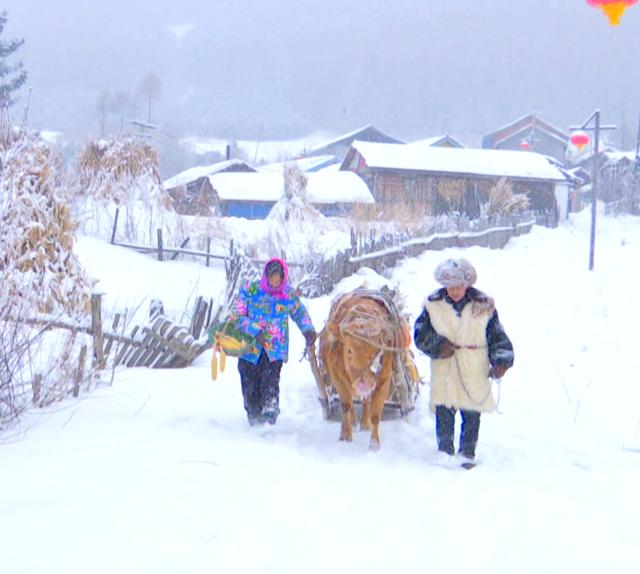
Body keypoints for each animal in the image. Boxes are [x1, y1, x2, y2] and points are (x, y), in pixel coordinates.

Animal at [320, 290, 404, 452]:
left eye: (376, 351)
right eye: (349, 351)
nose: (363, 383)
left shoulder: (383, 380)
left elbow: (375, 414)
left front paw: (375, 445)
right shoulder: (336, 376)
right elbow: (346, 405)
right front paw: (345, 436)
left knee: (365, 401)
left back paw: (364, 425)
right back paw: (353, 423)